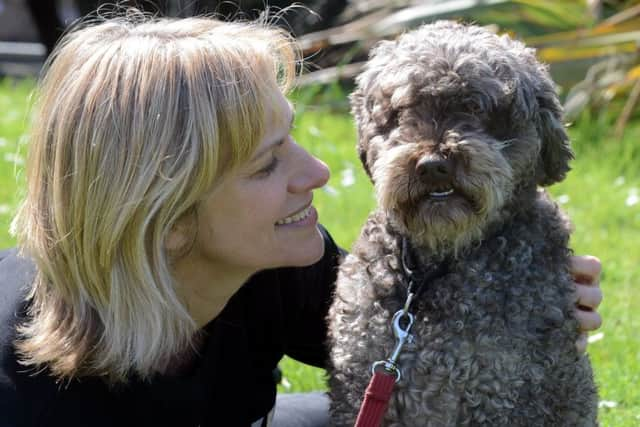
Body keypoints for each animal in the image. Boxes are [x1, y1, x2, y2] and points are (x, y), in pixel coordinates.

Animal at [328, 21, 596, 426]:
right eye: (404, 111)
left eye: (477, 109)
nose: (433, 165)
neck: (431, 274)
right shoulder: (358, 379)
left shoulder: (503, 395)